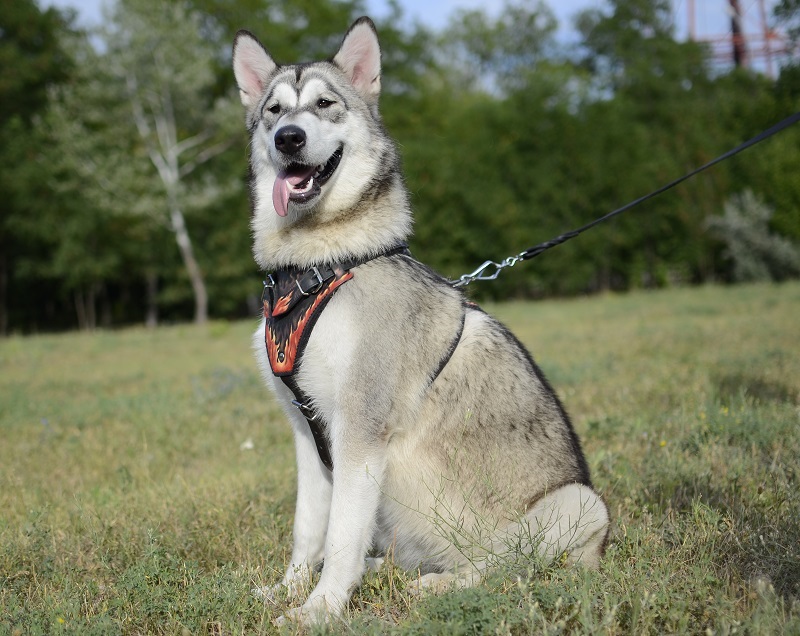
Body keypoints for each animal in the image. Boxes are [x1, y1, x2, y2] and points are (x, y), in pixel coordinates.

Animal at [234, 17, 608, 624]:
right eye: (274, 110)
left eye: (324, 103)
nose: (289, 138)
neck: (313, 268)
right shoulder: (306, 431)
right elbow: (309, 529)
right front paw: (289, 589)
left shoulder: (360, 429)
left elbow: (340, 535)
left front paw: (320, 610)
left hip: (582, 503)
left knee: (499, 568)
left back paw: (439, 584)